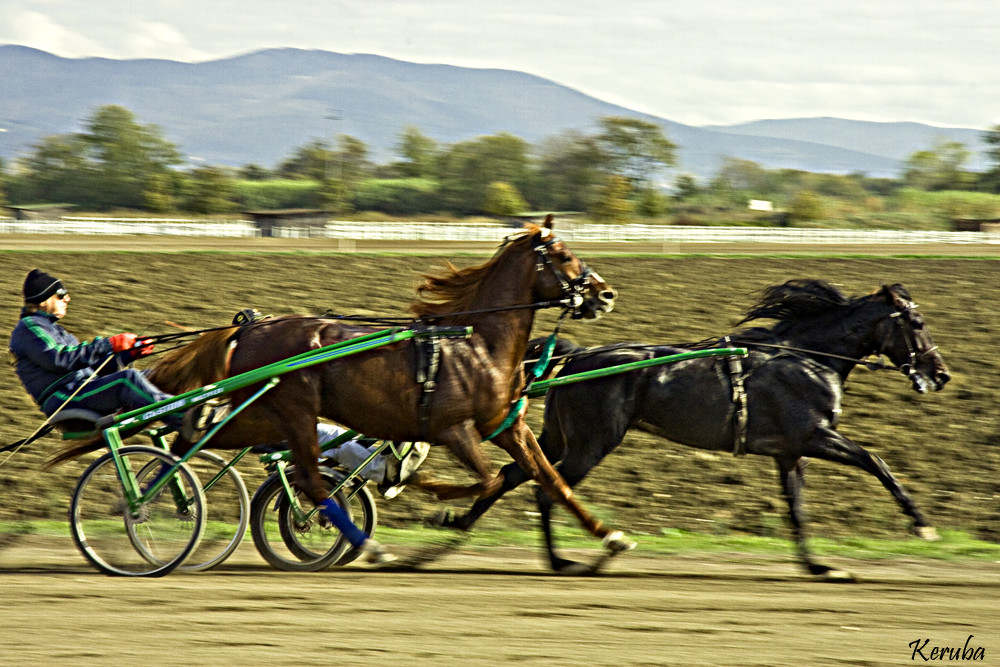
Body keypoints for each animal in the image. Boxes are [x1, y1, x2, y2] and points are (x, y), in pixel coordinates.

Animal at [50, 218, 628, 552]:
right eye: (564, 255)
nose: (606, 294)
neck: (475, 342)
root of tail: (249, 327)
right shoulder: (453, 428)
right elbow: (485, 481)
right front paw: (430, 495)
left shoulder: (505, 425)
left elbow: (549, 478)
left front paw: (610, 535)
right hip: (295, 410)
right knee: (306, 477)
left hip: (265, 413)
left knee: (199, 438)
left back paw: (164, 493)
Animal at [440, 282, 952, 580]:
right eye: (917, 321)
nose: (941, 374)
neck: (807, 357)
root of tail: (581, 356)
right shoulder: (815, 436)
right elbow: (877, 461)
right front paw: (922, 524)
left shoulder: (790, 452)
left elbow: (797, 509)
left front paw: (817, 565)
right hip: (592, 443)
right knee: (548, 491)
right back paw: (566, 560)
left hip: (557, 437)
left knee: (513, 474)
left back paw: (457, 528)